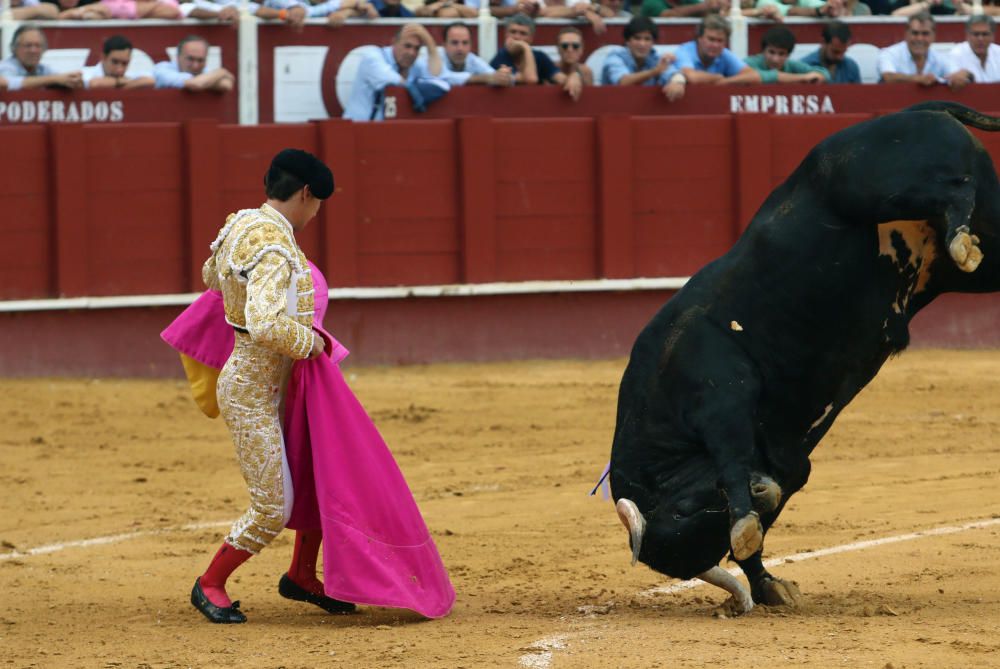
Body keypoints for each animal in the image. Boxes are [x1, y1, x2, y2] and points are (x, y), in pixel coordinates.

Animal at [604, 100, 1000, 612]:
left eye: (682, 509)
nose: (762, 490)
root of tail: (917, 107)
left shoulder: (722, 392)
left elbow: (731, 454)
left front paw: (748, 531)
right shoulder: (788, 461)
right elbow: (758, 526)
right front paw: (768, 583)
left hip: (880, 189)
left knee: (954, 188)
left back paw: (960, 239)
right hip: (990, 247)